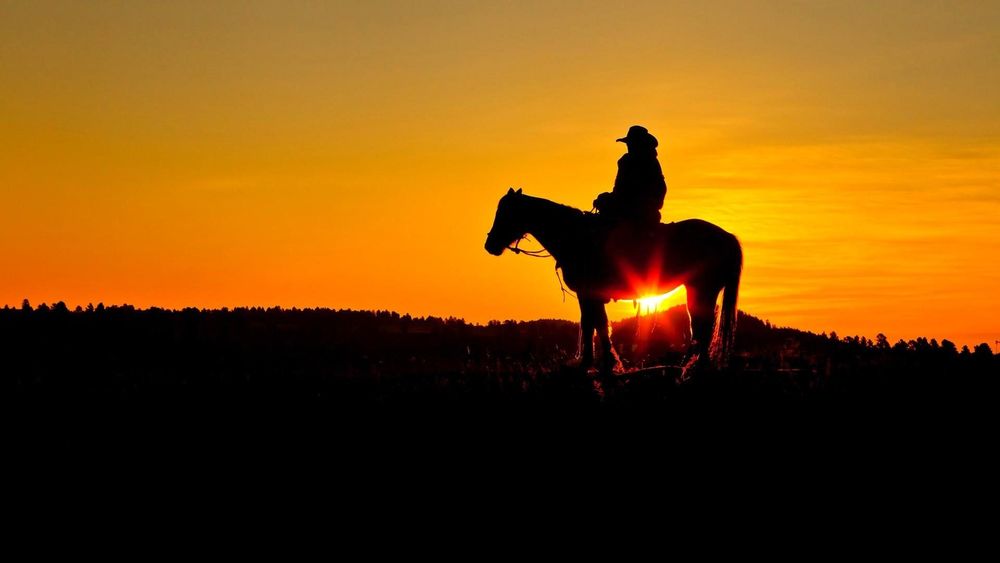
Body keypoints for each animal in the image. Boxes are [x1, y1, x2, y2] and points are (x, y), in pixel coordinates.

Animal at [484, 187, 744, 376]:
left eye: (506, 213)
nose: (490, 245)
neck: (576, 236)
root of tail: (727, 237)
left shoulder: (588, 292)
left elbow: (592, 324)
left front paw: (596, 363)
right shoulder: (591, 294)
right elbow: (596, 324)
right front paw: (603, 362)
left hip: (702, 289)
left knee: (703, 325)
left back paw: (695, 364)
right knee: (700, 325)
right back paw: (690, 363)